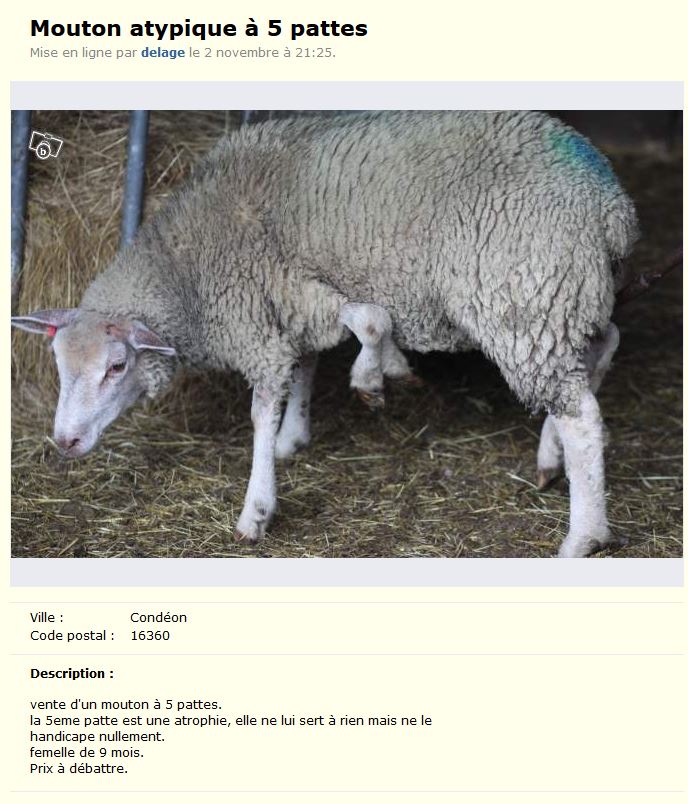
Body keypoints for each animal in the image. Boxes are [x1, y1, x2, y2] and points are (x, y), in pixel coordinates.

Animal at [11, 110, 638, 556]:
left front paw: (258, 507)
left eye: (117, 366)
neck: (185, 267)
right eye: (59, 365)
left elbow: (353, 334)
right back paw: (552, 458)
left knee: (582, 416)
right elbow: (312, 363)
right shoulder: (290, 307)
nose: (63, 443)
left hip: (524, 298)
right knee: (602, 348)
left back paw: (582, 536)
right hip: (567, 295)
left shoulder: (275, 303)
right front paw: (300, 431)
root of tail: (611, 206)